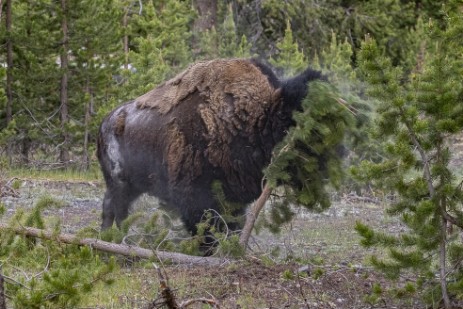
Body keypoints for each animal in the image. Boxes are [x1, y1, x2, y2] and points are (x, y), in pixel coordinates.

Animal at [98, 58, 322, 236]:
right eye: (292, 122)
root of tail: (105, 123)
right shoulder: (198, 197)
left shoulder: (232, 199)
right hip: (120, 183)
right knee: (116, 208)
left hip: (131, 185)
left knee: (114, 207)